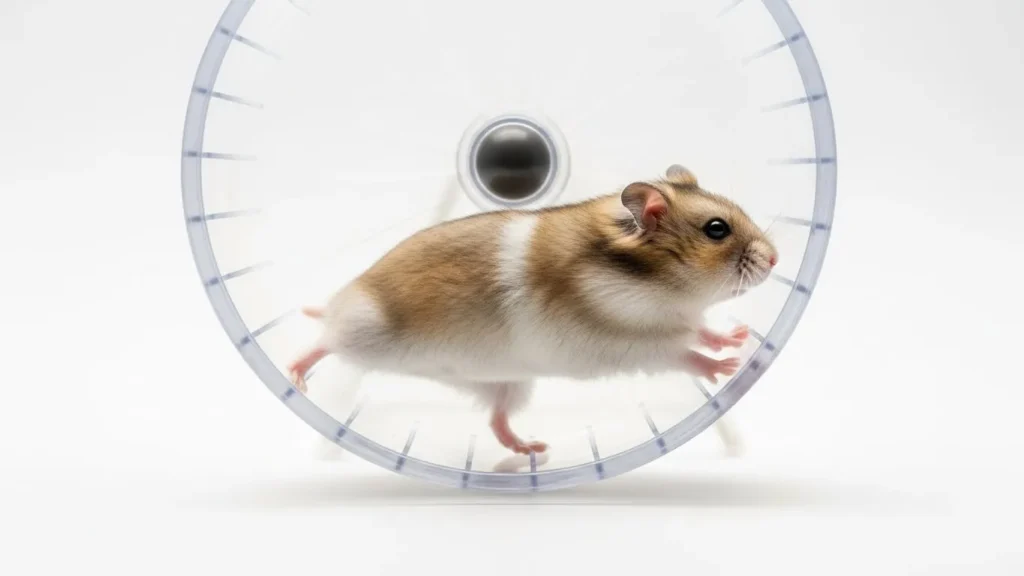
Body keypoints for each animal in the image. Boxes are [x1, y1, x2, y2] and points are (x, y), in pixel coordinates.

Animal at [287, 165, 779, 455]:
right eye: (716, 229)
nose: (776, 260)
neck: (656, 287)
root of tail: (340, 300)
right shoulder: (633, 346)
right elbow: (686, 355)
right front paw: (728, 367)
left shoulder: (676, 323)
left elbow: (701, 332)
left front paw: (736, 341)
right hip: (366, 333)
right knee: (322, 343)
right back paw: (296, 375)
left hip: (509, 383)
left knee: (496, 419)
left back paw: (533, 450)